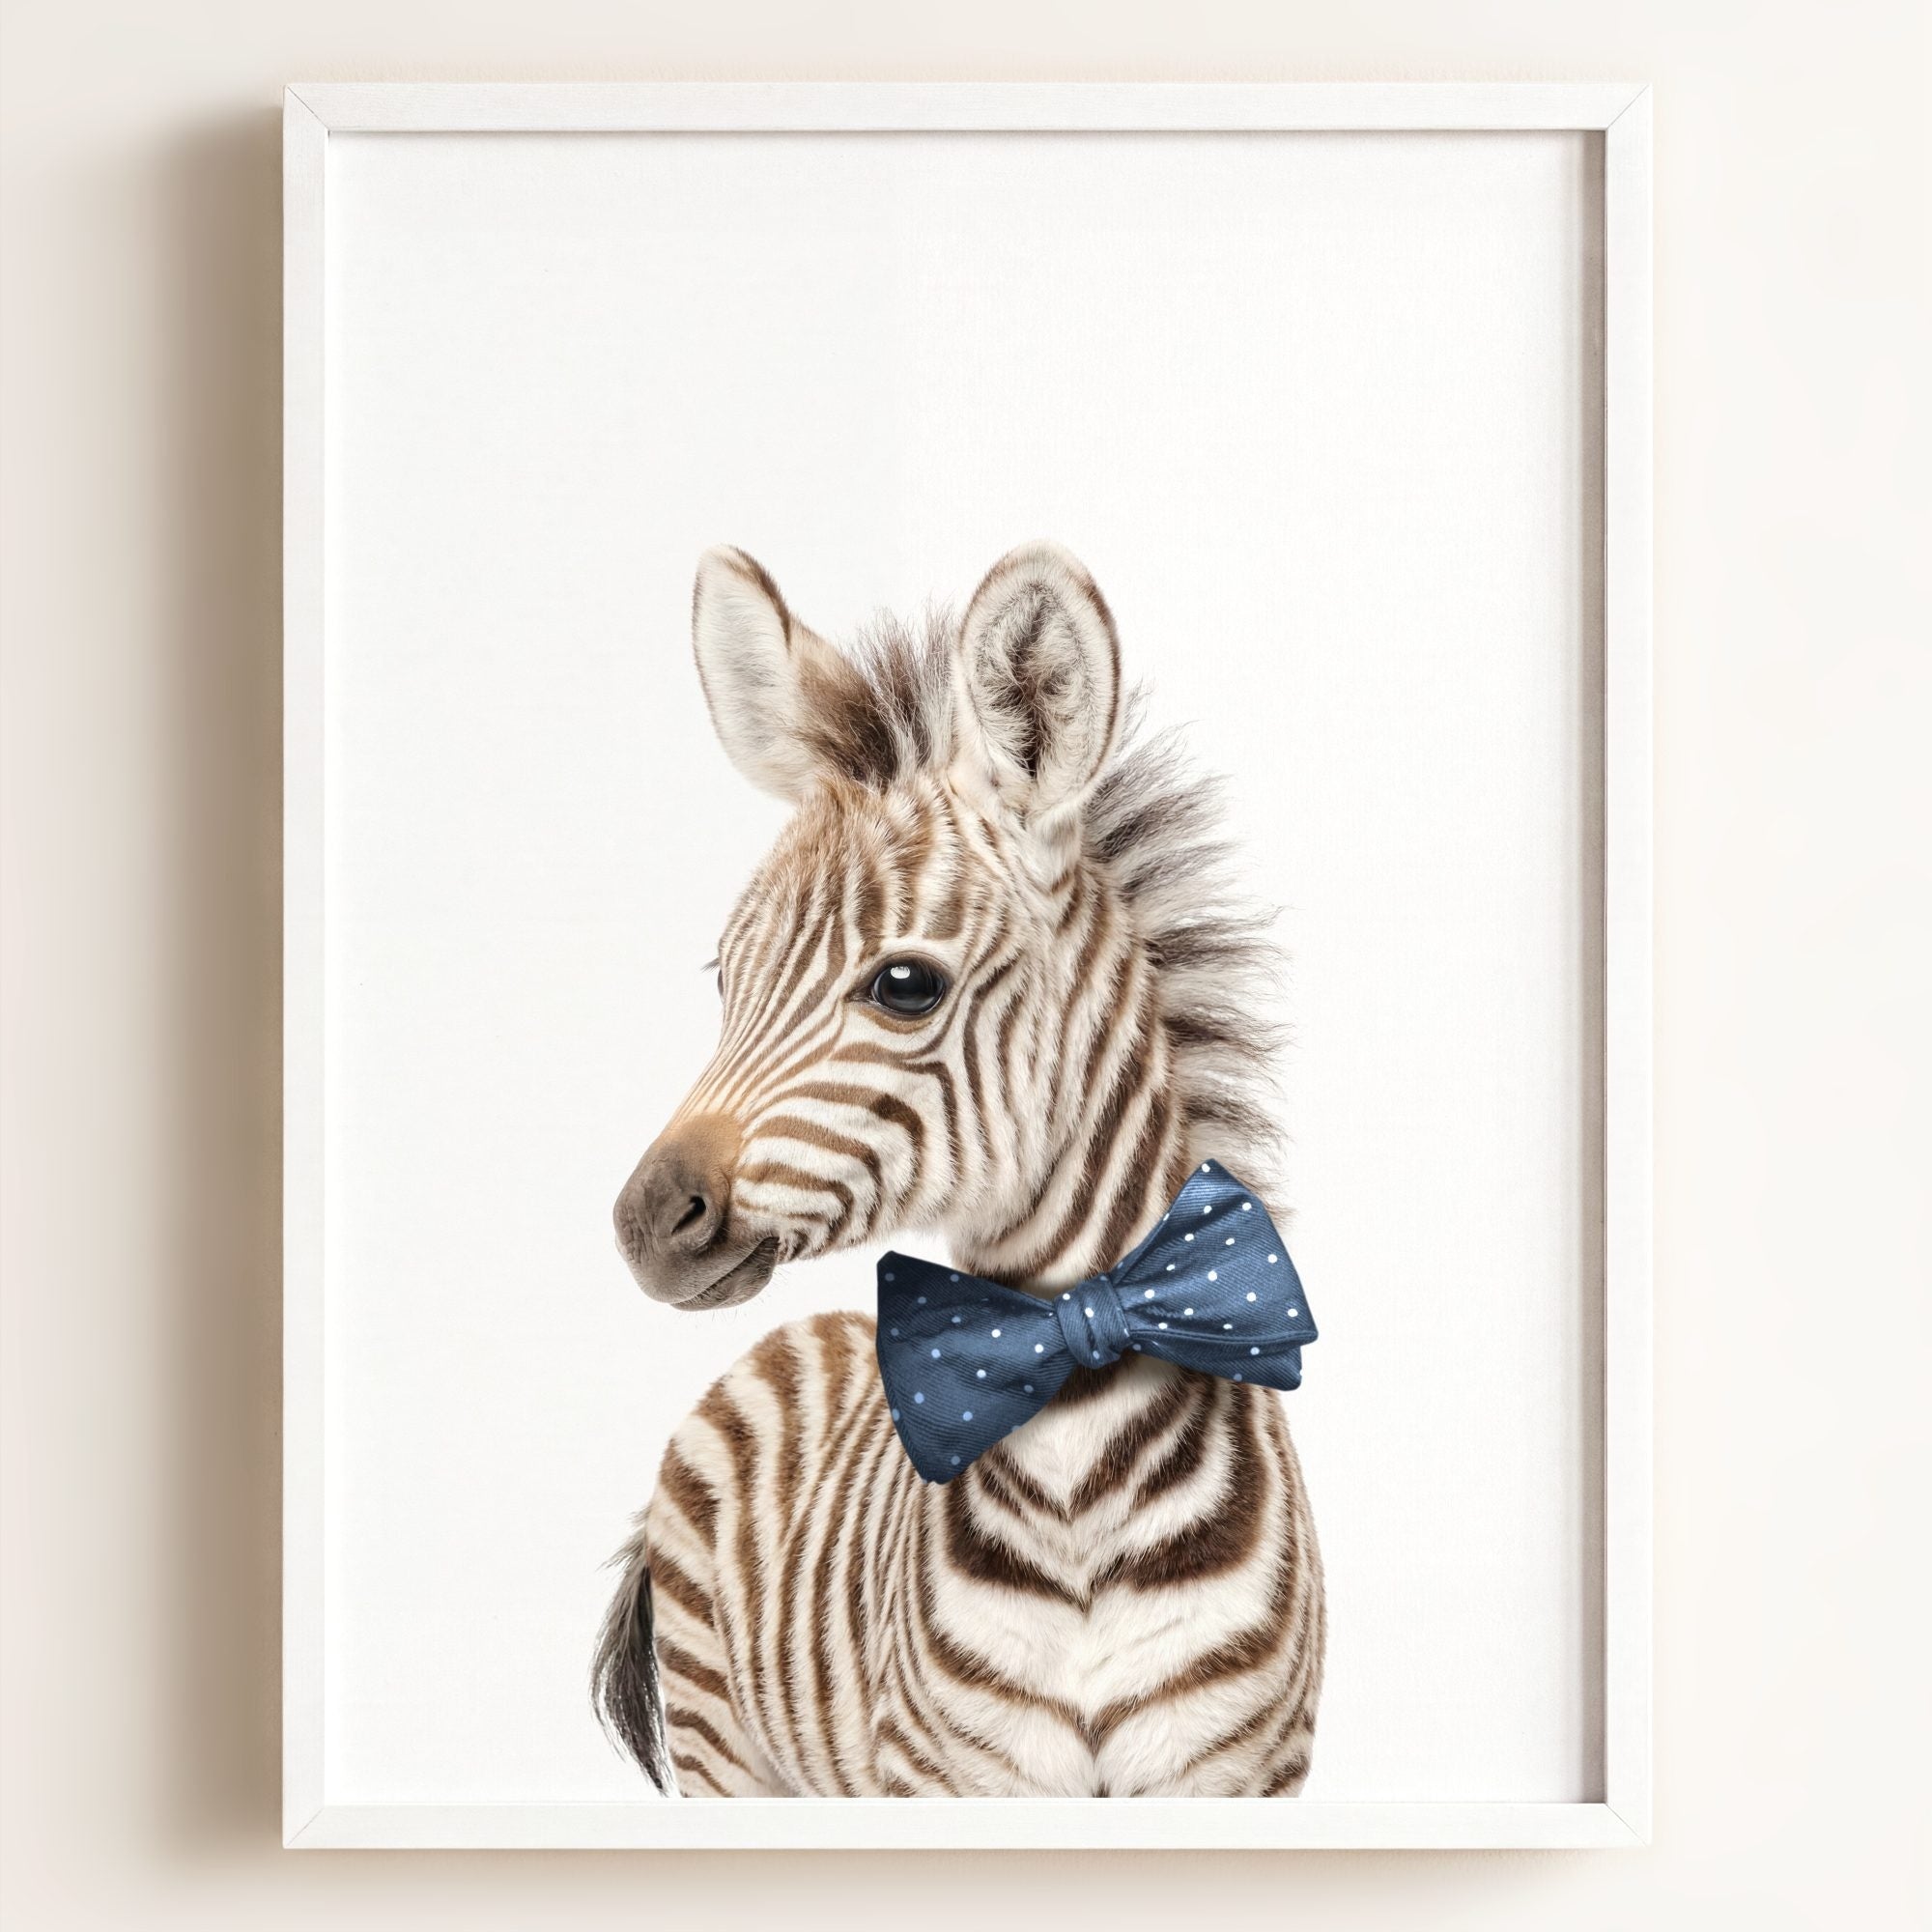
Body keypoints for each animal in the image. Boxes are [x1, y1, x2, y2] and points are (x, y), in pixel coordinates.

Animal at [593, 541, 1324, 1798]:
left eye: (904, 985)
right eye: (724, 976)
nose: (645, 1219)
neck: (1078, 1478)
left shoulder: (1238, 1774)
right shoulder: (949, 1778)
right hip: (724, 1746)